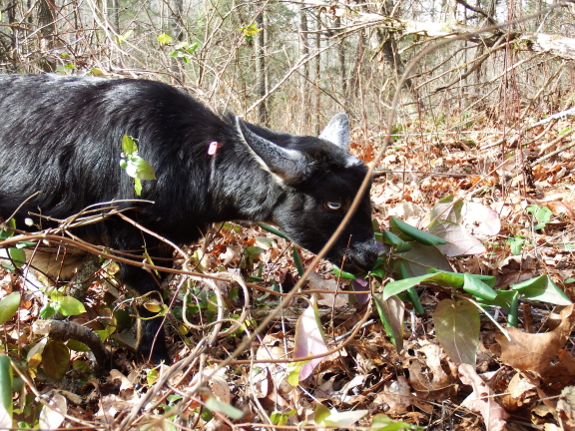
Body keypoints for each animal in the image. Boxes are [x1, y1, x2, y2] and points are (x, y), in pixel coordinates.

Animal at [0, 75, 378, 364]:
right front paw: (157, 361)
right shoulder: (127, 234)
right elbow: (150, 298)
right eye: (333, 203)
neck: (189, 157)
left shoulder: (163, 242)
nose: (372, 254)